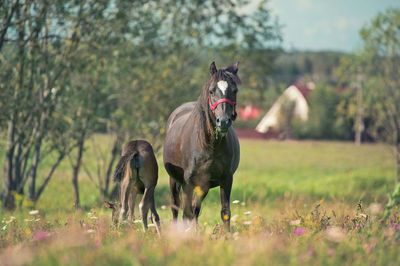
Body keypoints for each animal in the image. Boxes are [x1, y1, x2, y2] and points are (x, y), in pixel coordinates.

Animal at [163, 61, 241, 230]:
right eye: (211, 91)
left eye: (234, 90)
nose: (223, 121)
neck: (211, 145)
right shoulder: (188, 182)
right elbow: (185, 212)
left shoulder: (226, 179)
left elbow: (225, 212)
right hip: (175, 181)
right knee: (176, 206)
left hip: (203, 186)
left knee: (195, 209)